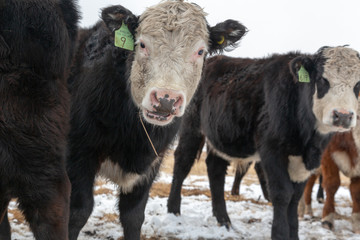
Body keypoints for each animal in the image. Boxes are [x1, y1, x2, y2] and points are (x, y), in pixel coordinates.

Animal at [65, 0, 248, 239]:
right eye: (142, 44)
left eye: (200, 51)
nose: (166, 99)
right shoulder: (78, 155)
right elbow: (78, 211)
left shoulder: (151, 163)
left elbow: (133, 216)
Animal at [167, 46, 360, 239]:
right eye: (321, 79)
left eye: (357, 84)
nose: (343, 115)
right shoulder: (271, 150)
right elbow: (283, 193)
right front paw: (280, 234)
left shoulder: (307, 160)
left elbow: (295, 197)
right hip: (190, 126)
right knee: (182, 162)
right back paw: (173, 211)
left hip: (220, 136)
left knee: (215, 169)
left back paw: (223, 220)